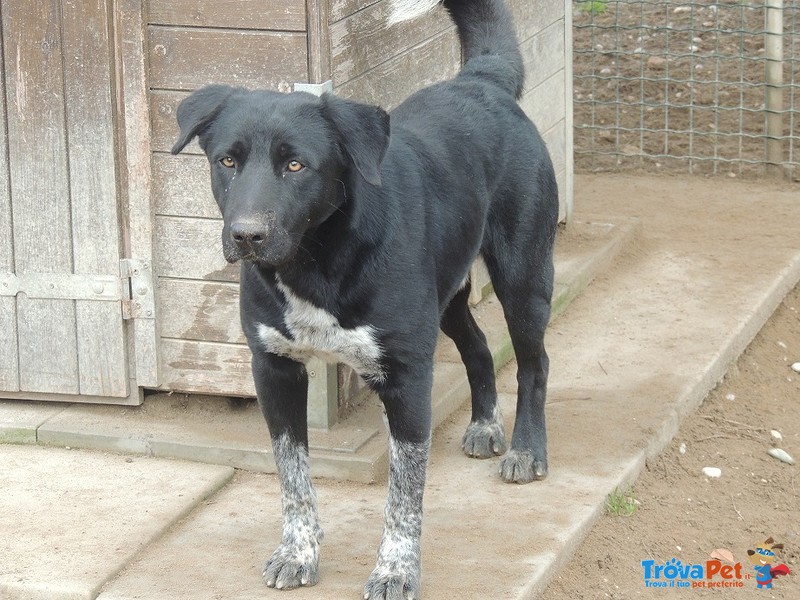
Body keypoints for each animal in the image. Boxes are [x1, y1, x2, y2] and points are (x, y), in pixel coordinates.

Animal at [170, 0, 556, 596]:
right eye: (226, 161)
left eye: (296, 164)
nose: (246, 236)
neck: (315, 261)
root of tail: (480, 80)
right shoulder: (273, 369)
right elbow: (293, 476)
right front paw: (298, 551)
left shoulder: (406, 376)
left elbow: (404, 494)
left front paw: (395, 569)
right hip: (447, 299)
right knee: (478, 347)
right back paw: (484, 424)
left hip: (523, 275)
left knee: (535, 363)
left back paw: (525, 449)